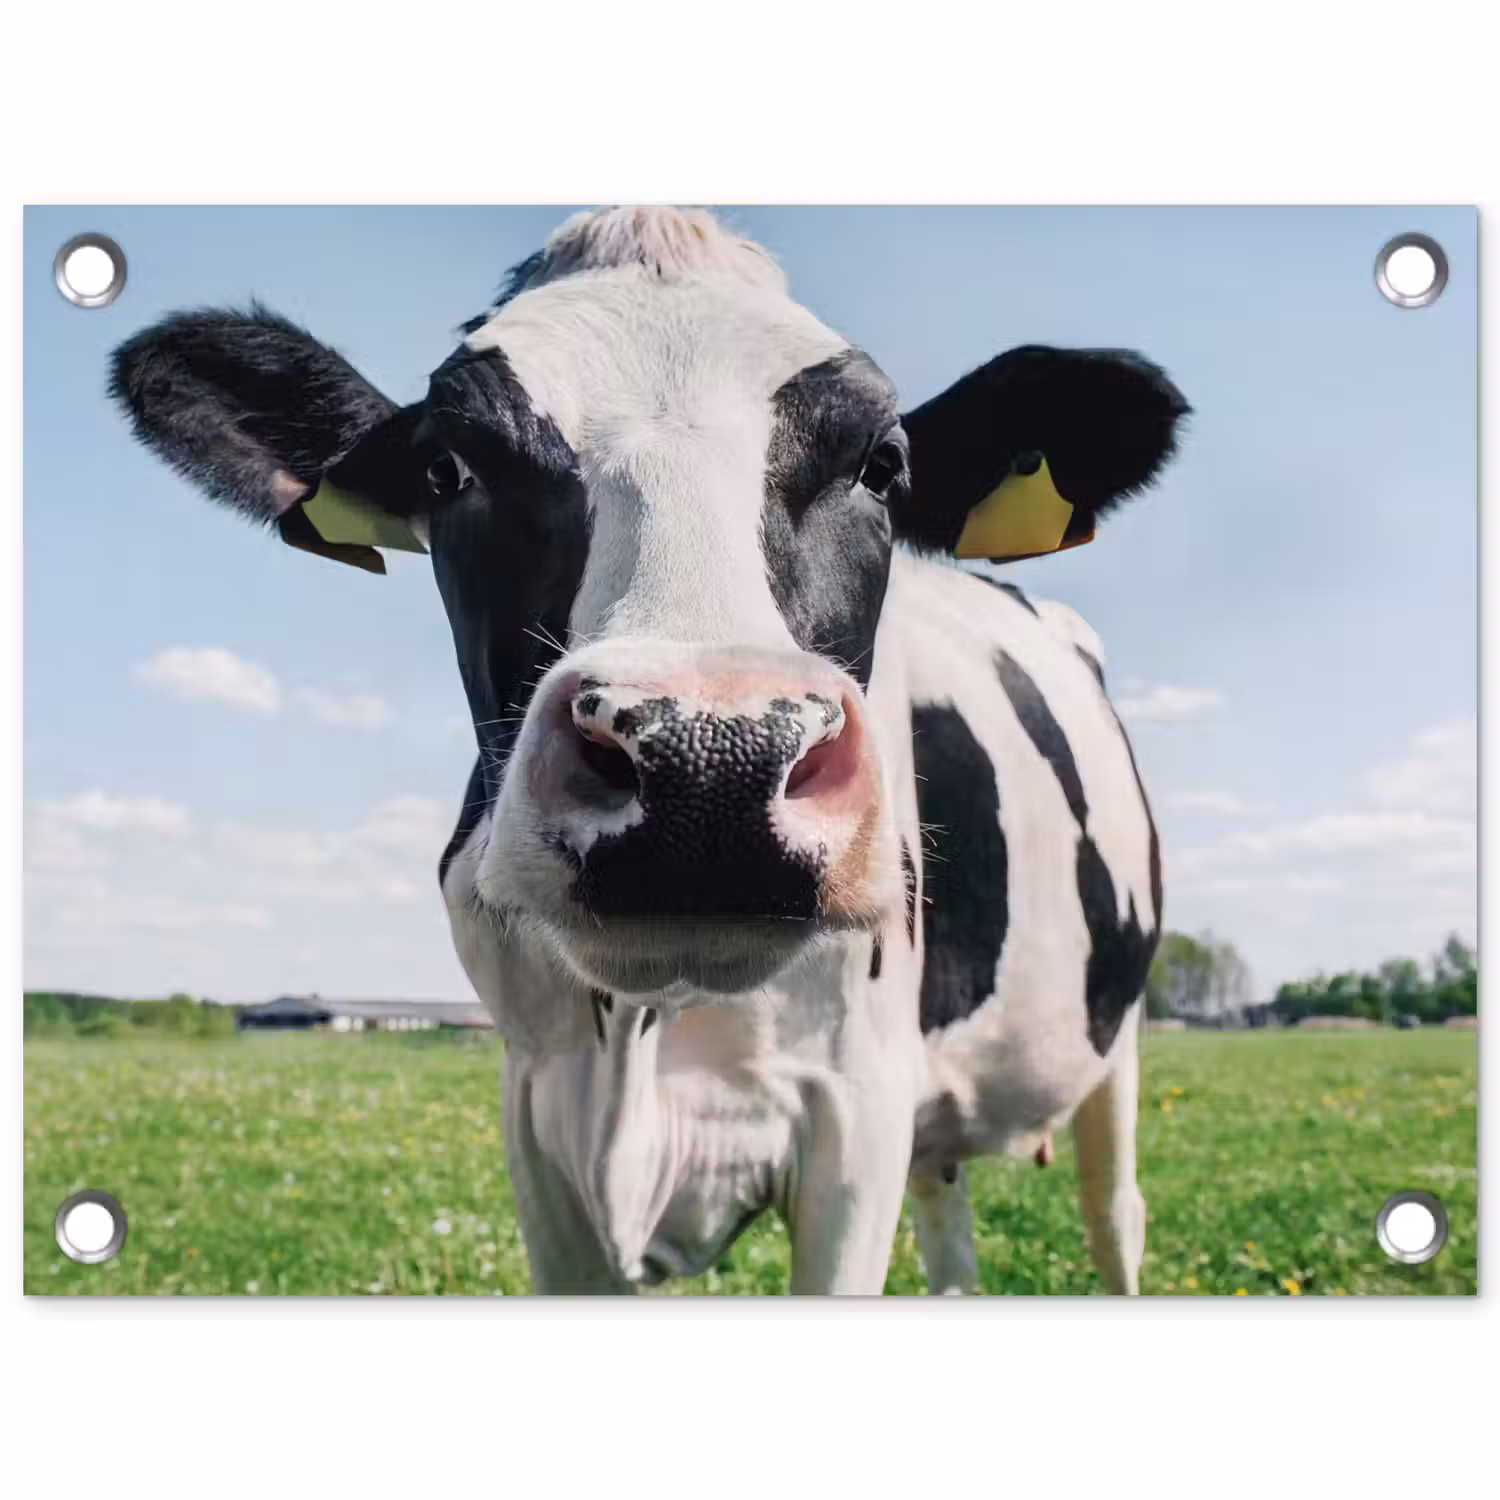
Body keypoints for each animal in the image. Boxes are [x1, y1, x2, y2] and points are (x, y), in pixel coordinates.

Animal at [109, 206, 1187, 1294]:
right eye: (447, 468)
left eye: (882, 464)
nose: (710, 764)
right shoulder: (538, 1116)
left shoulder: (859, 1110)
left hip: (1116, 1044)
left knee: (1118, 1216)